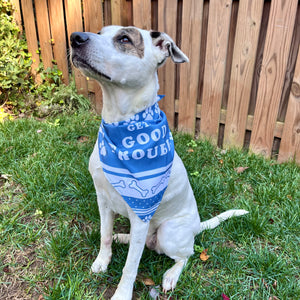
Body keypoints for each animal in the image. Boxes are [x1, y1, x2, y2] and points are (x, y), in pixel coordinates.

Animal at [71, 26, 248, 300]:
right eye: (100, 32)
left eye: (124, 39)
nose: (75, 37)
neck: (122, 127)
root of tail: (197, 226)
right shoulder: (103, 200)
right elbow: (104, 236)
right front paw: (102, 260)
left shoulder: (141, 215)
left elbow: (130, 266)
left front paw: (122, 294)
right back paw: (123, 236)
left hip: (168, 232)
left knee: (186, 255)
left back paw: (171, 275)